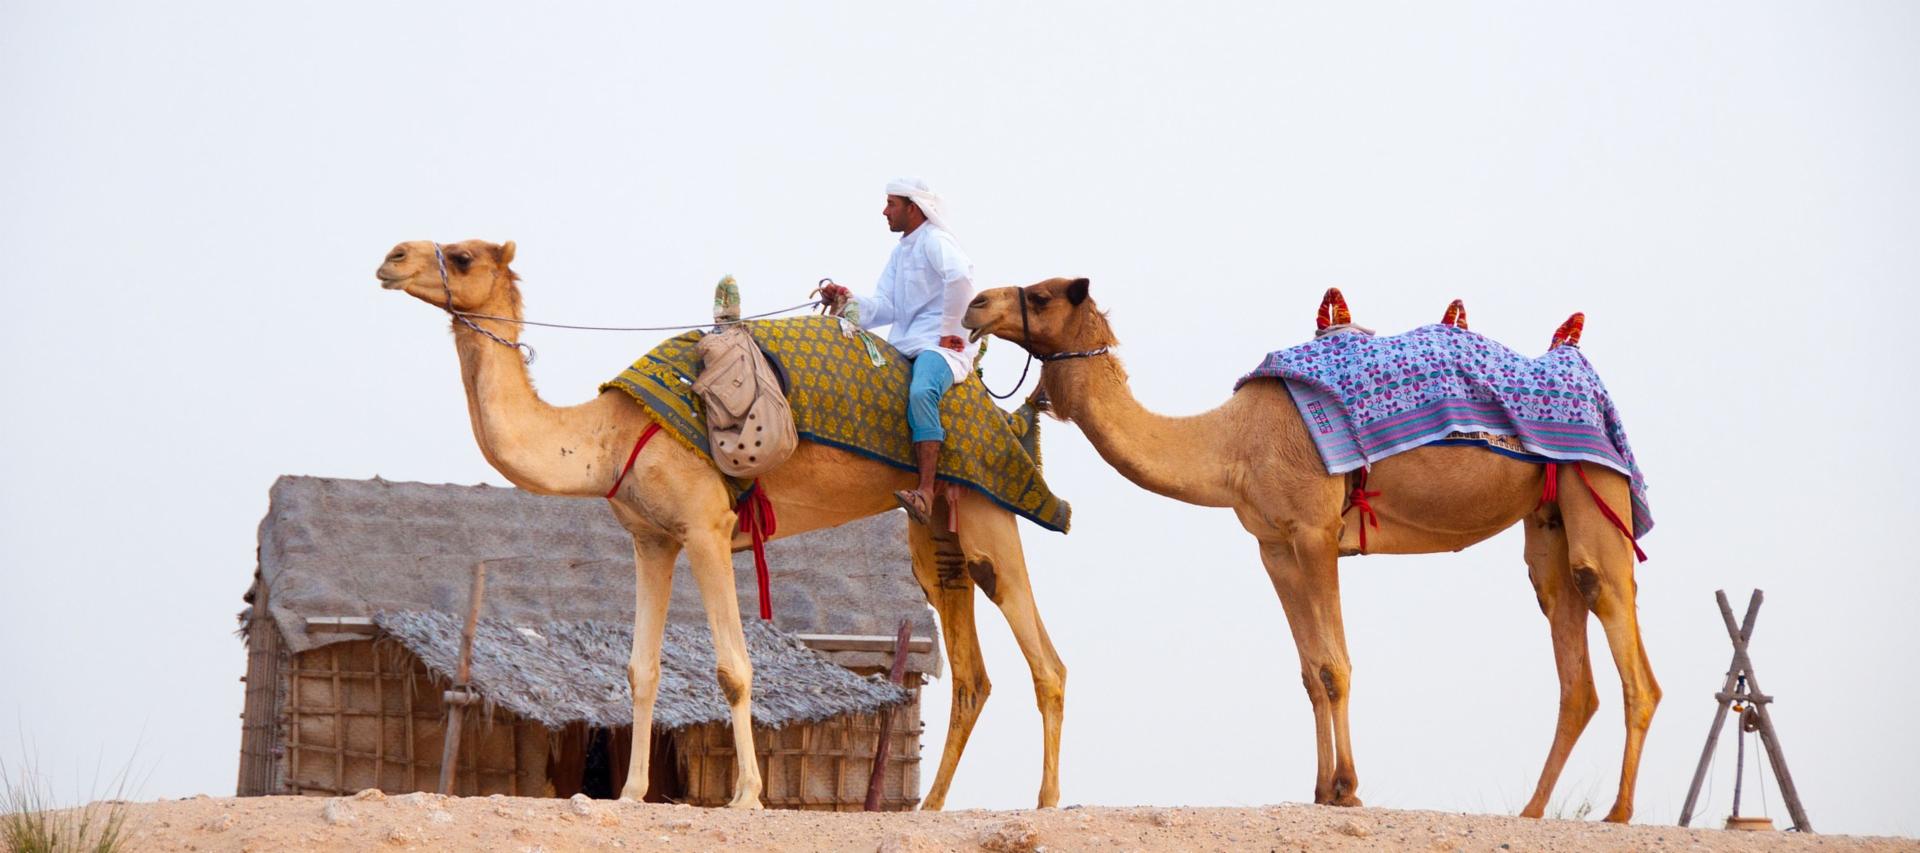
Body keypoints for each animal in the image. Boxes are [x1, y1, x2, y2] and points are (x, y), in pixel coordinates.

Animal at [374, 238, 1067, 806]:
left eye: (463, 257)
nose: (392, 257)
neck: (607, 436)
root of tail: (1002, 417)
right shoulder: (652, 539)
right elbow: (641, 670)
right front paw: (632, 792)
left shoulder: (706, 527)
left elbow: (734, 669)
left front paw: (748, 795)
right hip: (937, 532)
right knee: (972, 673)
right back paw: (932, 807)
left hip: (987, 511)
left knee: (1045, 660)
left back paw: (1046, 801)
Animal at [967, 276, 1658, 822]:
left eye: (1040, 294)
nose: (975, 304)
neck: (1231, 442)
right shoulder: (1274, 544)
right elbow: (1309, 670)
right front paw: (1323, 788)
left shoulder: (1315, 530)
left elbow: (1335, 663)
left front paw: (1348, 788)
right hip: (1546, 519)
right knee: (1572, 655)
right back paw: (1534, 811)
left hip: (1597, 485)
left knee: (1619, 629)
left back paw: (1619, 812)